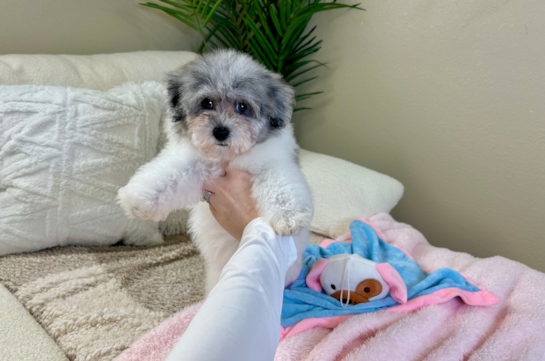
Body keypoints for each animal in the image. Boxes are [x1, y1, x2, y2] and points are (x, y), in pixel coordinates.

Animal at [118, 49, 314, 294]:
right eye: (207, 103)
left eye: (242, 107)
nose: (221, 131)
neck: (226, 157)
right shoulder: (193, 166)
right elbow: (168, 175)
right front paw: (138, 198)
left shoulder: (274, 162)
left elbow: (279, 186)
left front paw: (288, 216)